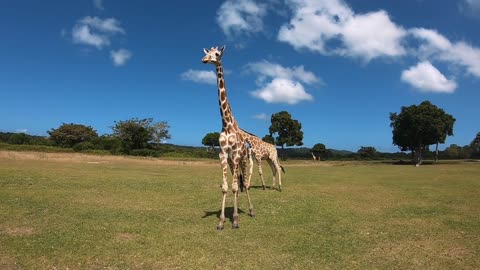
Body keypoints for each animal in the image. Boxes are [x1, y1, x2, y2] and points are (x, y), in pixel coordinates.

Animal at [202, 46, 256, 230]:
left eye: (217, 54)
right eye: (207, 53)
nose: (204, 60)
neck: (226, 124)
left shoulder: (237, 155)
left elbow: (235, 186)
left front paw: (236, 221)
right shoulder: (223, 154)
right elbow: (226, 187)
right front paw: (222, 221)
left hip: (244, 160)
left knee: (244, 184)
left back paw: (251, 211)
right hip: (234, 163)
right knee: (237, 185)